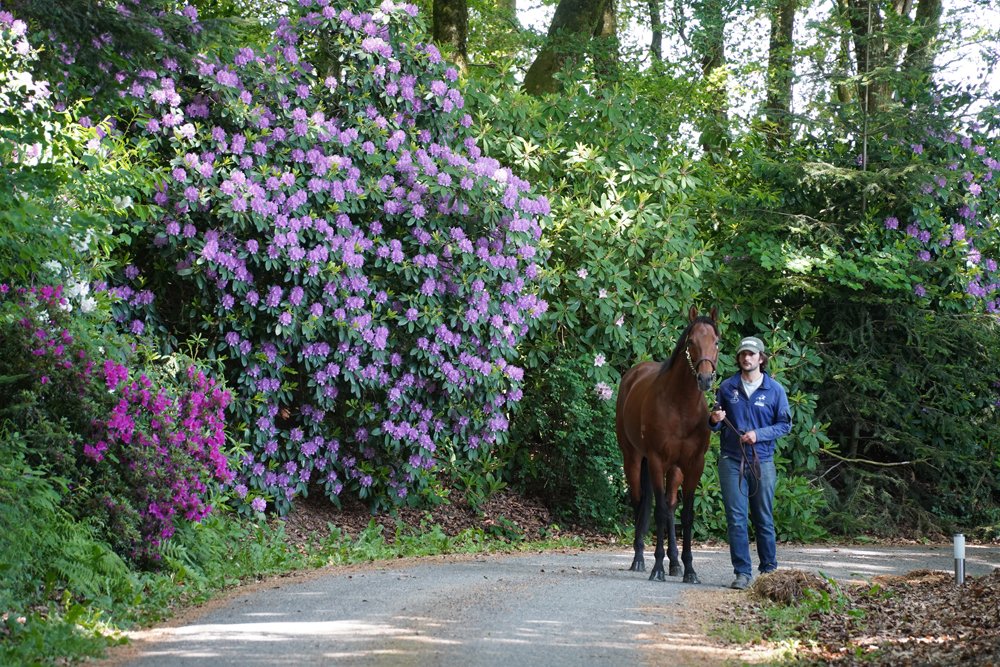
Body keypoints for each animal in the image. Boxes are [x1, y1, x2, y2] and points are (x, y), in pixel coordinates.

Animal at [615, 306, 719, 583]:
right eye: (691, 342)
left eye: (716, 342)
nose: (705, 379)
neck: (681, 405)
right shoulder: (656, 461)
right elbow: (658, 510)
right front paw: (657, 568)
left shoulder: (693, 464)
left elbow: (686, 514)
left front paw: (689, 569)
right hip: (633, 459)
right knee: (640, 502)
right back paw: (639, 559)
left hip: (674, 469)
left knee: (671, 507)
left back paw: (674, 563)